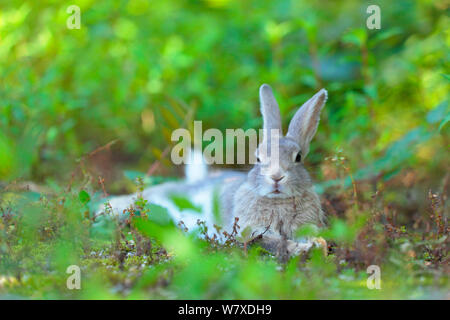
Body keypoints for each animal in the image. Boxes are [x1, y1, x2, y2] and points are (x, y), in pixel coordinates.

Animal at [221, 84, 328, 256]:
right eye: (258, 158)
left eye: (298, 157)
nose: (276, 177)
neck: (278, 201)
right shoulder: (254, 230)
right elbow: (274, 242)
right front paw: (302, 249)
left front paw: (318, 244)